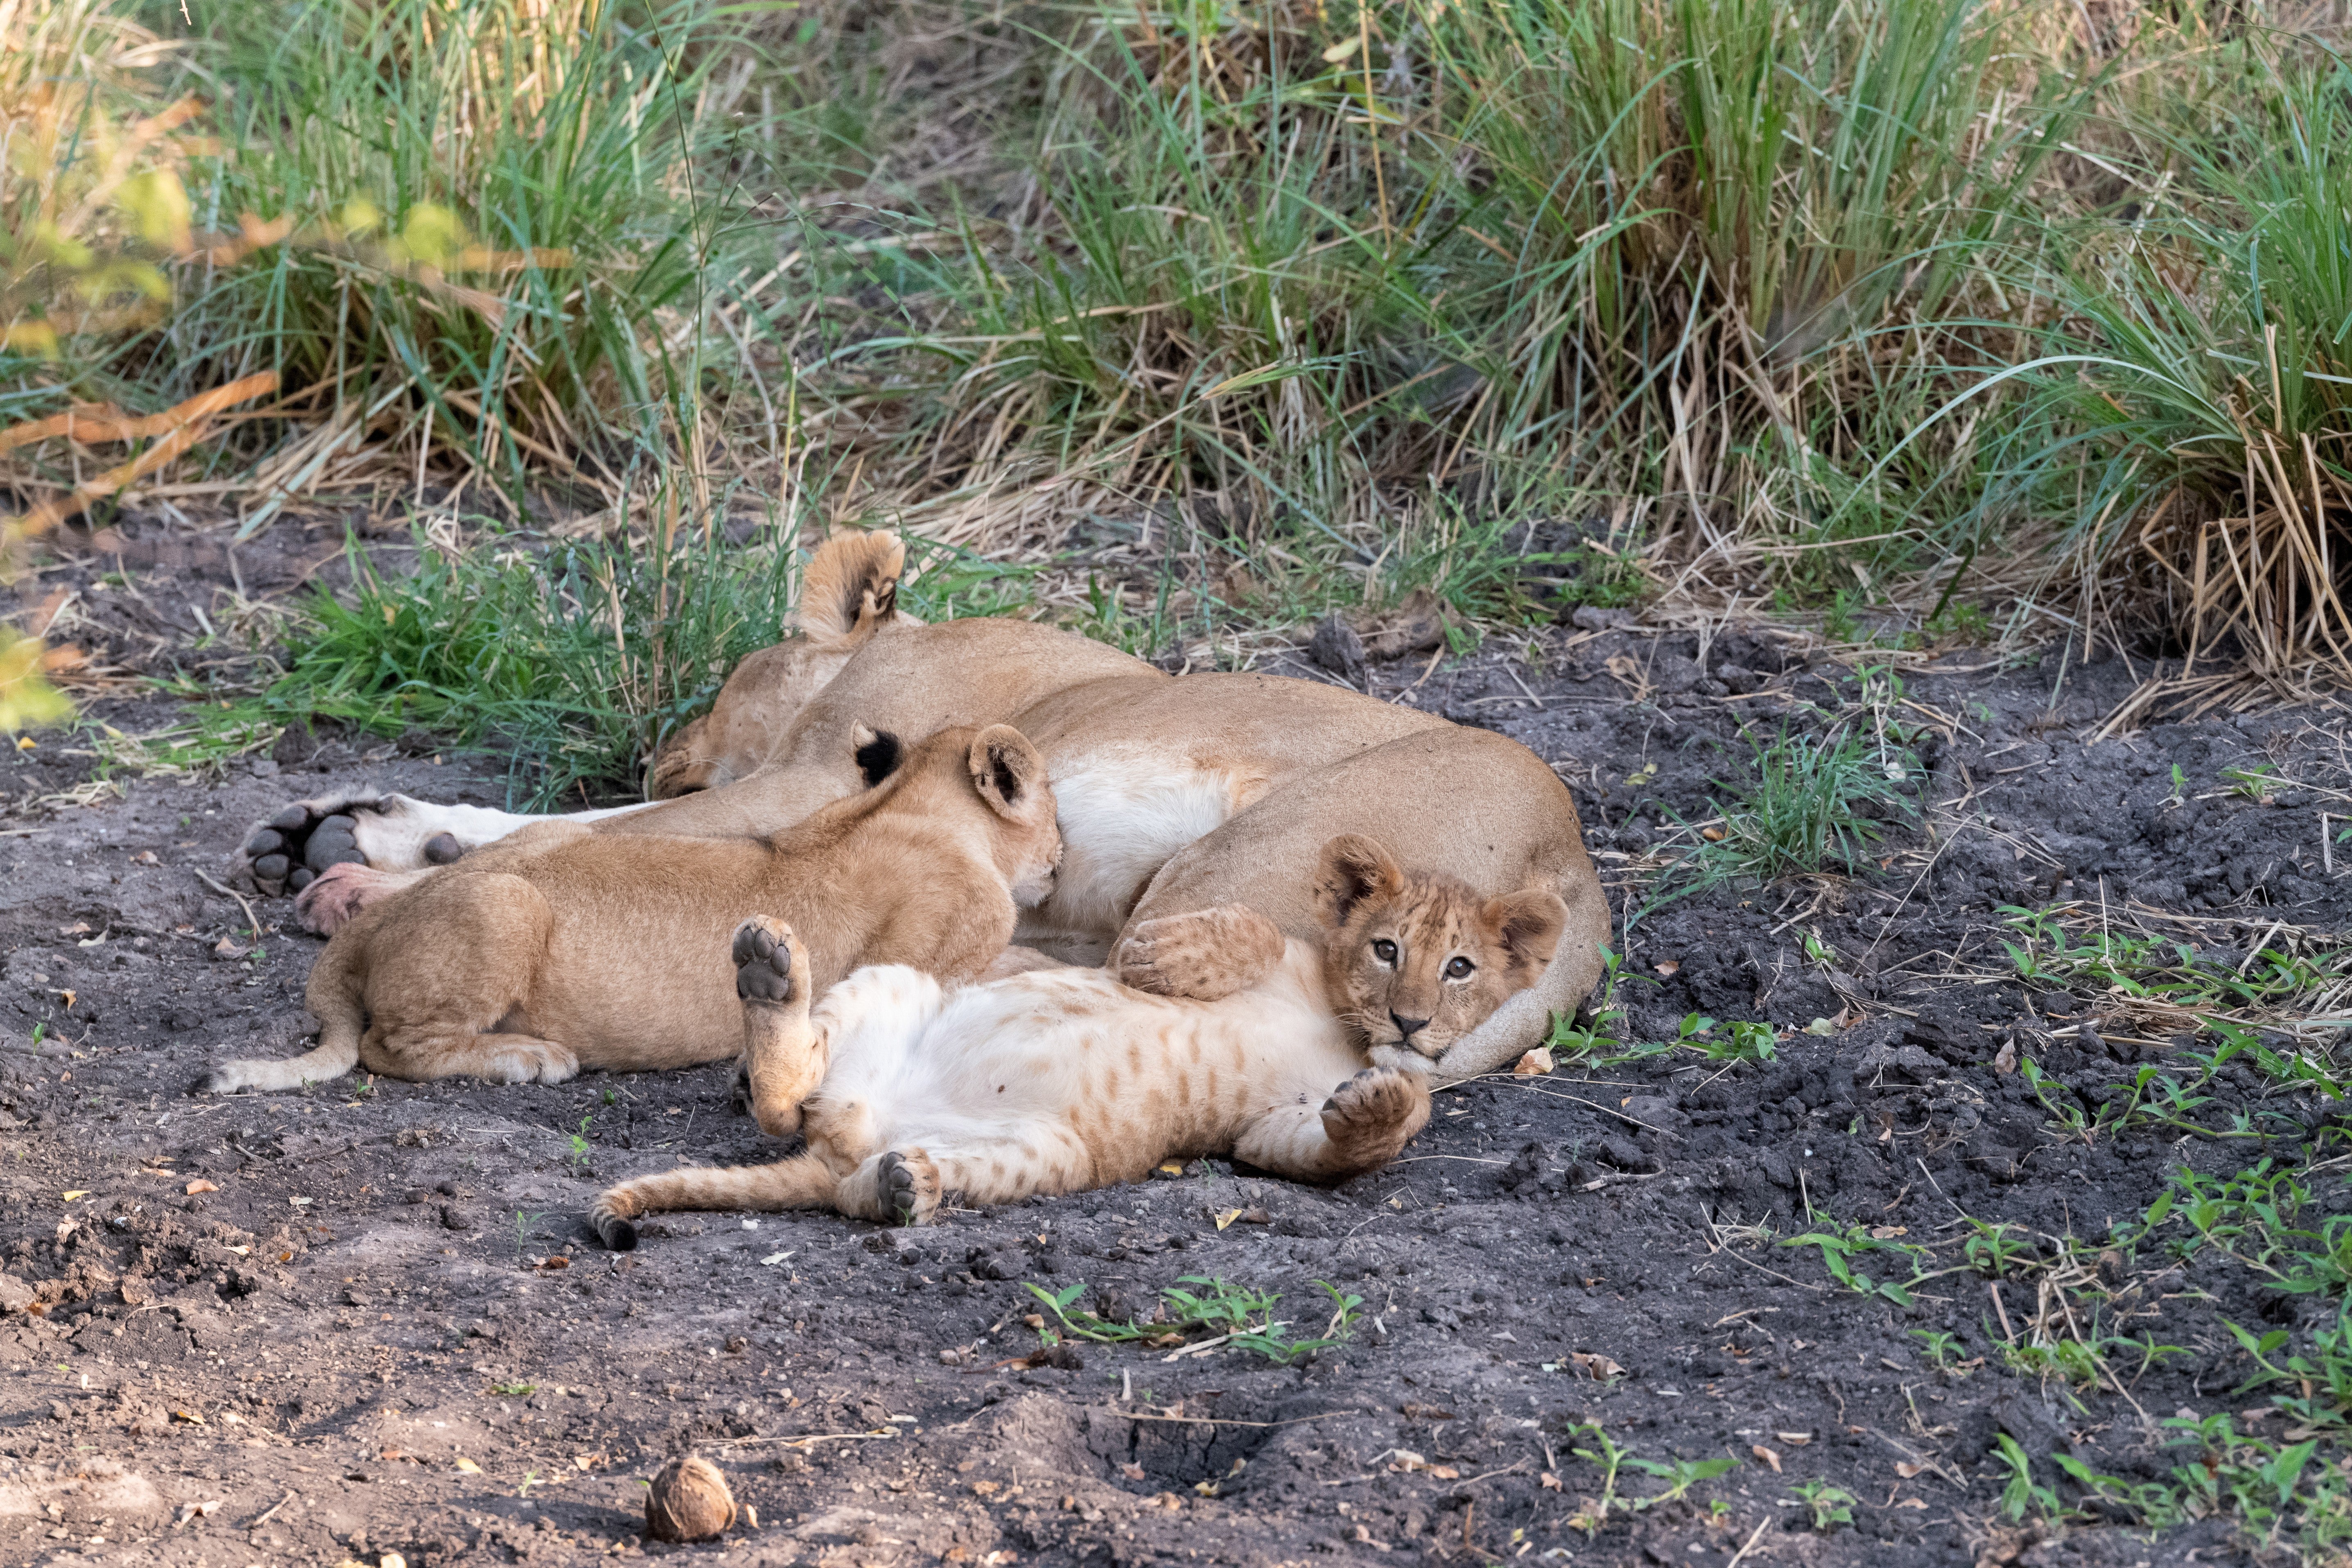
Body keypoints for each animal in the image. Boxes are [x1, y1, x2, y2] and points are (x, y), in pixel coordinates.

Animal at [197, 723, 1060, 1092]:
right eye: (1053, 807)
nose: (1062, 859)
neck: (902, 805)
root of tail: (356, 941)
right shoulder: (946, 946)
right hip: (506, 905)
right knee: (389, 1045)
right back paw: (527, 1057)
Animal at [588, 834, 1566, 1240]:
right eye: (1386, 948)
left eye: (1461, 970)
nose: (1411, 1020)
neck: (1342, 1024)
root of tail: (853, 1133)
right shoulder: (1214, 932)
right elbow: (1238, 928)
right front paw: (1171, 968)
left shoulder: (1262, 1132)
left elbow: (1345, 1139)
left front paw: (1383, 1102)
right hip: (897, 984)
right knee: (781, 1094)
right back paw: (767, 971)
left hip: (1046, 1151)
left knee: (846, 1187)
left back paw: (907, 1184)